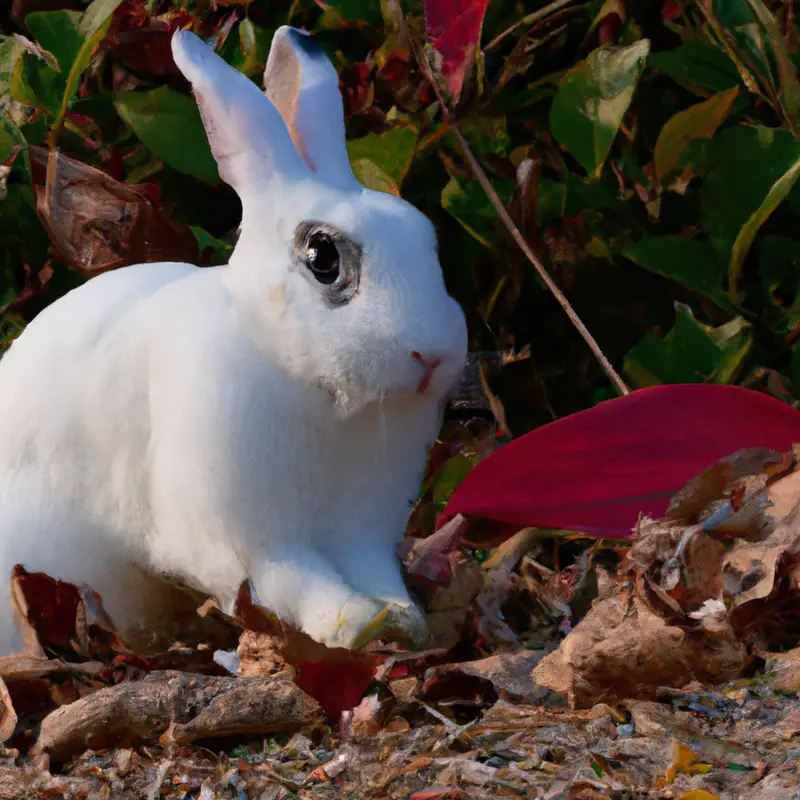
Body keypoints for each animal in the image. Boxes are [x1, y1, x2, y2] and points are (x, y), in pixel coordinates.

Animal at [0, 26, 466, 656]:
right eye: (323, 256)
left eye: (425, 238)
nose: (432, 356)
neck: (297, 375)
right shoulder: (253, 541)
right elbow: (298, 582)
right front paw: (352, 622)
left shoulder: (362, 531)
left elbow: (374, 572)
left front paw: (401, 618)